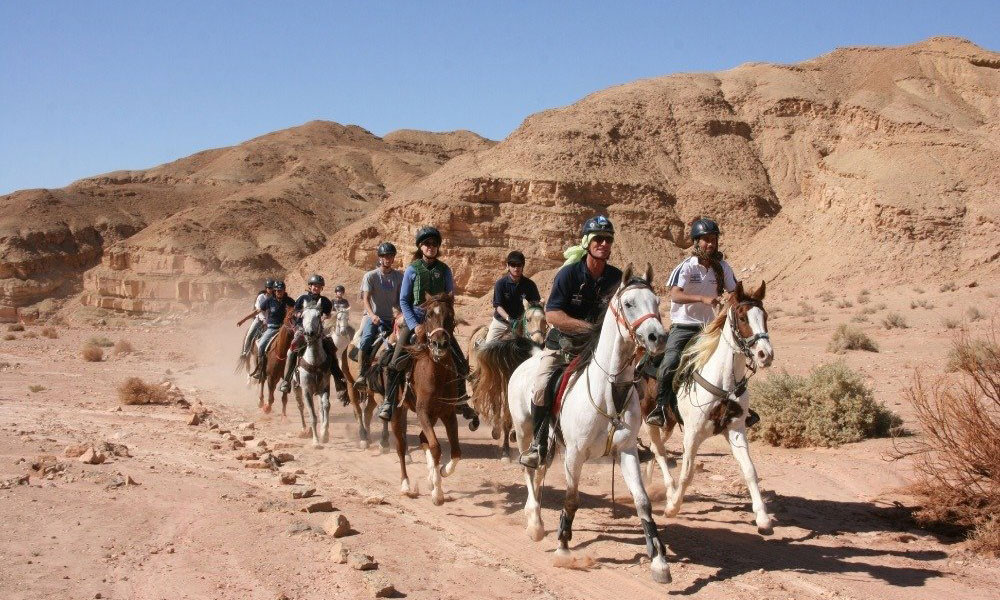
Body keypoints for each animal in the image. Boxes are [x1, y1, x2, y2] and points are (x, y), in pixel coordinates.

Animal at [296, 308, 332, 448]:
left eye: (318, 316)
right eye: (302, 316)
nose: (309, 333)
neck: (315, 362)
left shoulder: (324, 388)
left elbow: (326, 406)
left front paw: (325, 435)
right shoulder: (306, 391)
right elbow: (312, 416)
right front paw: (316, 441)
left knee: (321, 407)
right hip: (296, 388)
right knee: (300, 406)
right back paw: (303, 428)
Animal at [392, 292, 466, 504]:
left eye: (450, 315)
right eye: (429, 315)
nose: (439, 344)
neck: (437, 372)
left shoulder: (448, 414)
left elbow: (456, 452)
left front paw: (440, 473)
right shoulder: (422, 412)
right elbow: (435, 447)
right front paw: (438, 494)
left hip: (433, 416)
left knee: (422, 437)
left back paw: (431, 478)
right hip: (397, 412)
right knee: (401, 446)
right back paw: (406, 485)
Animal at [508, 262, 672, 580]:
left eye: (657, 302)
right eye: (629, 303)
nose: (657, 337)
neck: (608, 390)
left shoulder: (627, 451)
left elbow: (643, 501)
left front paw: (659, 560)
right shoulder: (575, 454)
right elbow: (572, 499)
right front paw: (563, 547)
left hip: (548, 445)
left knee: (540, 471)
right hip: (524, 431)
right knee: (528, 472)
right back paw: (535, 523)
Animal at [644, 282, 776, 536]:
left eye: (765, 316)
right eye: (743, 318)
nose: (765, 355)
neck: (724, 382)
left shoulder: (735, 430)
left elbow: (750, 471)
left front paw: (763, 518)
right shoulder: (693, 433)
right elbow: (687, 473)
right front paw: (673, 507)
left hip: (669, 422)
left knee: (657, 450)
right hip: (648, 418)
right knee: (659, 450)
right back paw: (668, 491)